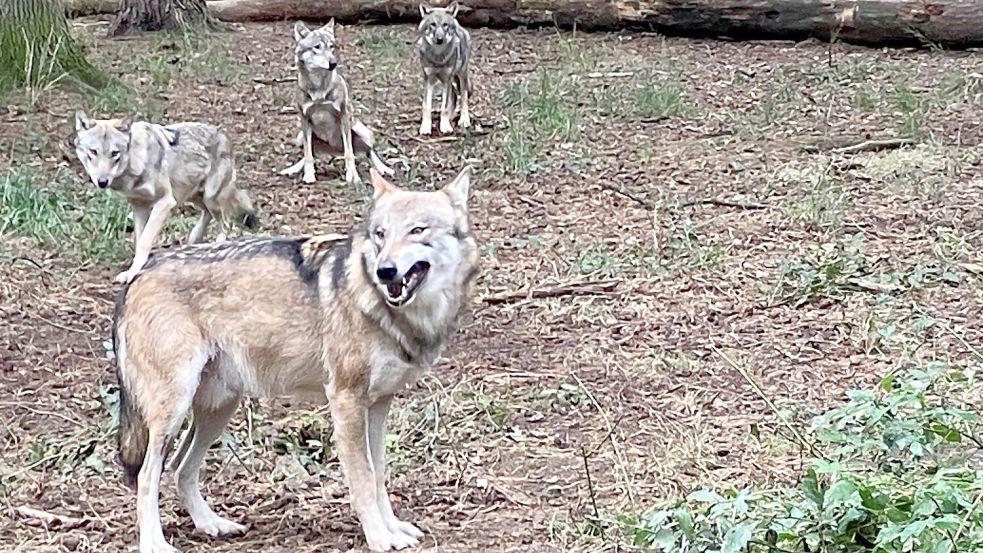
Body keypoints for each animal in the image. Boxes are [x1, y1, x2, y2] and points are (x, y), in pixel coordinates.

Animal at [73, 112, 260, 284]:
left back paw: (216, 246)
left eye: (114, 153)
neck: (136, 161)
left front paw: (133, 272)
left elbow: (145, 241)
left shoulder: (165, 202)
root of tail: (223, 134)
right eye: (93, 152)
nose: (102, 181)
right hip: (193, 196)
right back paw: (194, 239)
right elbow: (139, 239)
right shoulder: (139, 206)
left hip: (209, 197)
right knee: (208, 215)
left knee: (226, 223)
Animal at [111, 165, 480, 552]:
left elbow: (379, 472)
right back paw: (155, 543)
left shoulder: (379, 404)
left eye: (417, 230)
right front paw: (379, 537)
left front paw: (394, 528)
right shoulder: (346, 400)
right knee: (148, 476)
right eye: (381, 234)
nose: (385, 271)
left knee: (181, 468)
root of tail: (137, 275)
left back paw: (212, 524)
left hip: (218, 409)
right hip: (174, 411)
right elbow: (363, 478)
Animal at [278, 19, 394, 185]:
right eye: (317, 47)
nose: (333, 63)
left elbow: (349, 153)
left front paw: (353, 177)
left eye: (331, 47)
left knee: (369, 151)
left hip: (361, 131)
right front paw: (309, 175)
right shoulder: (304, 119)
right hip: (301, 136)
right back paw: (293, 169)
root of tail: (335, 150)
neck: (319, 88)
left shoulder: (343, 116)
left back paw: (384, 169)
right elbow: (308, 155)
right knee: (309, 153)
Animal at [418, 2, 474, 136]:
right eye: (433, 24)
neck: (438, 57)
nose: (440, 39)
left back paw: (464, 120)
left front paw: (445, 127)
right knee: (453, 96)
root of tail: (460, 26)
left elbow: (444, 107)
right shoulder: (429, 80)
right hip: (450, 80)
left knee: (463, 97)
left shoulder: (447, 79)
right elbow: (427, 106)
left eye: (445, 25)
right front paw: (425, 127)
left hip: (460, 76)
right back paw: (450, 118)